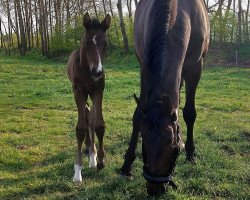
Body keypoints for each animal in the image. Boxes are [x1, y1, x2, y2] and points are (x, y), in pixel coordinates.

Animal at [67, 11, 111, 182]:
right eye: (87, 42)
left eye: (105, 43)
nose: (97, 72)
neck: (86, 69)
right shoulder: (78, 91)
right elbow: (80, 128)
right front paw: (77, 171)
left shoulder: (98, 90)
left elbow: (98, 124)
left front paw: (100, 160)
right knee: (86, 114)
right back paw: (87, 148)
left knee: (90, 116)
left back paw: (92, 154)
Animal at [120, 0, 210, 196]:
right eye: (144, 138)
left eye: (170, 141)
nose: (155, 189)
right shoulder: (145, 66)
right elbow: (138, 115)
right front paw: (127, 165)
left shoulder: (195, 67)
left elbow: (189, 113)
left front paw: (190, 153)